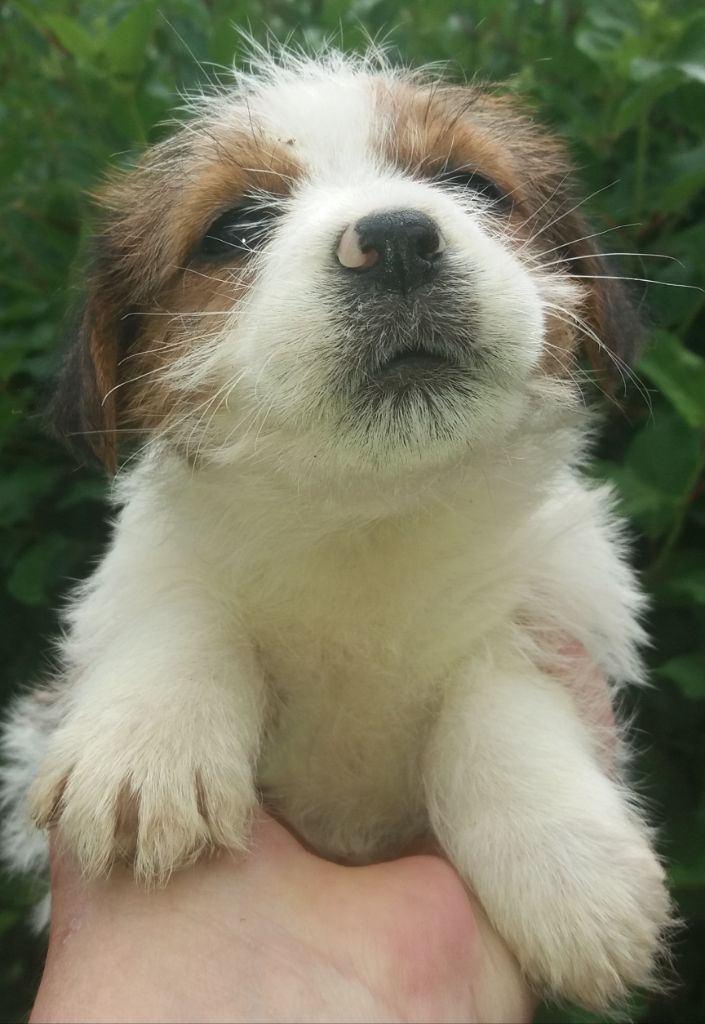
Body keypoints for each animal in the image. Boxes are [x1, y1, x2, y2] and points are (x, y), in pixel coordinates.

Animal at [1, 45, 671, 1010]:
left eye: (470, 183)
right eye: (234, 227)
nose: (395, 238)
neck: (366, 520)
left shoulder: (563, 584)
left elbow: (498, 683)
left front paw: (565, 863)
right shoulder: (144, 566)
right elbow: (177, 599)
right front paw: (147, 740)